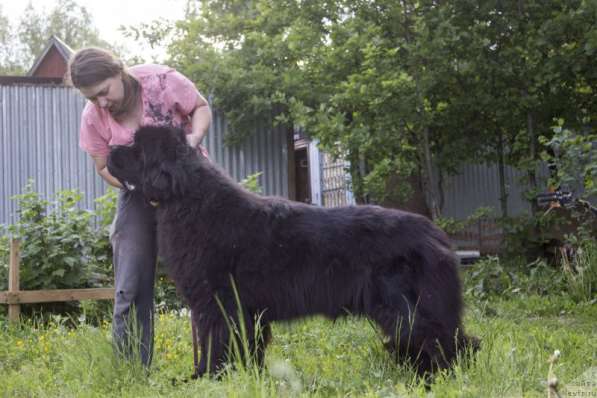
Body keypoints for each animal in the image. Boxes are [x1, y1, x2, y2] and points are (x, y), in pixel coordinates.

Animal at [107, 126, 478, 378]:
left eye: (136, 147)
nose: (108, 150)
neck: (188, 198)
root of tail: (436, 234)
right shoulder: (241, 312)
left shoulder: (219, 305)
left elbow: (217, 344)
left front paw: (209, 378)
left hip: (405, 307)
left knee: (435, 340)